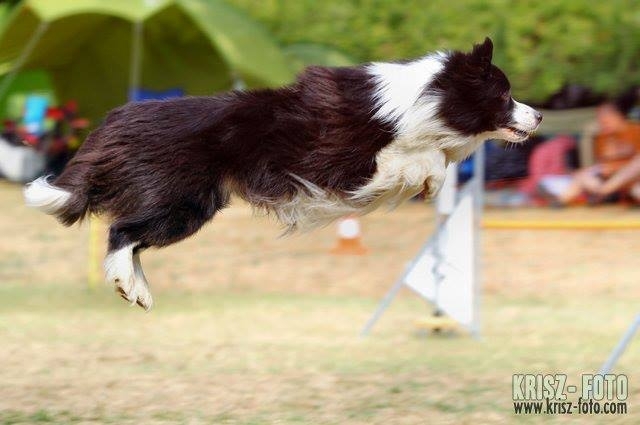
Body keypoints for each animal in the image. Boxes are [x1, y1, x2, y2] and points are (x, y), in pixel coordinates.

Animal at [24, 37, 541, 310]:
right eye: (504, 95)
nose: (538, 116)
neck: (425, 100)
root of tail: (114, 121)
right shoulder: (345, 162)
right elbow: (419, 158)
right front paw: (431, 178)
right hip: (181, 202)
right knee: (121, 233)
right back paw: (128, 286)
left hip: (188, 206)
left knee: (129, 237)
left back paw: (139, 290)